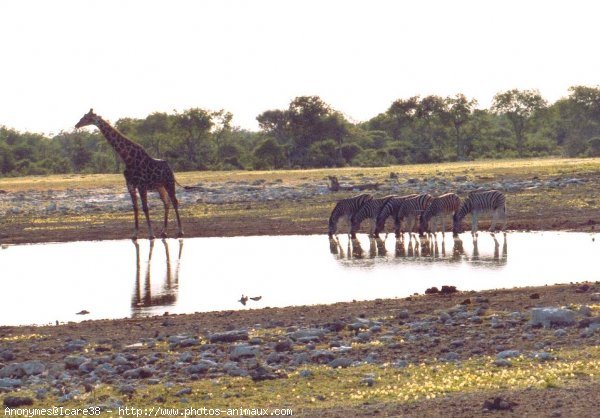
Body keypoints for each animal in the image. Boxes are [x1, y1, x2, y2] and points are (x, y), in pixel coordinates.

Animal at [76, 108, 183, 238]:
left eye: (86, 117)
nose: (77, 125)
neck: (128, 159)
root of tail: (170, 168)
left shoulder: (141, 185)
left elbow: (145, 208)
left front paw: (151, 234)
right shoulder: (130, 185)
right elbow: (135, 208)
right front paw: (135, 234)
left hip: (169, 183)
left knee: (175, 202)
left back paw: (180, 231)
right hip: (160, 186)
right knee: (166, 203)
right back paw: (163, 232)